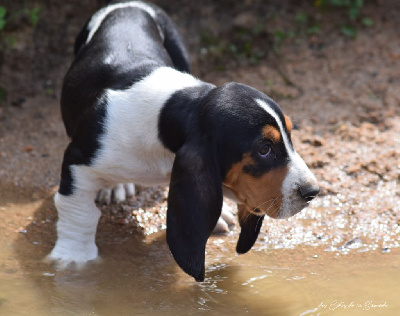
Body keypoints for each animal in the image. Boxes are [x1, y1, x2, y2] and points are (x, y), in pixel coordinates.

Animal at [49, 0, 318, 282]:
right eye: (264, 149)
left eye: (290, 134)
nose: (312, 191)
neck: (165, 116)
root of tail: (128, 4)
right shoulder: (77, 159)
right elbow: (79, 211)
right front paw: (74, 258)